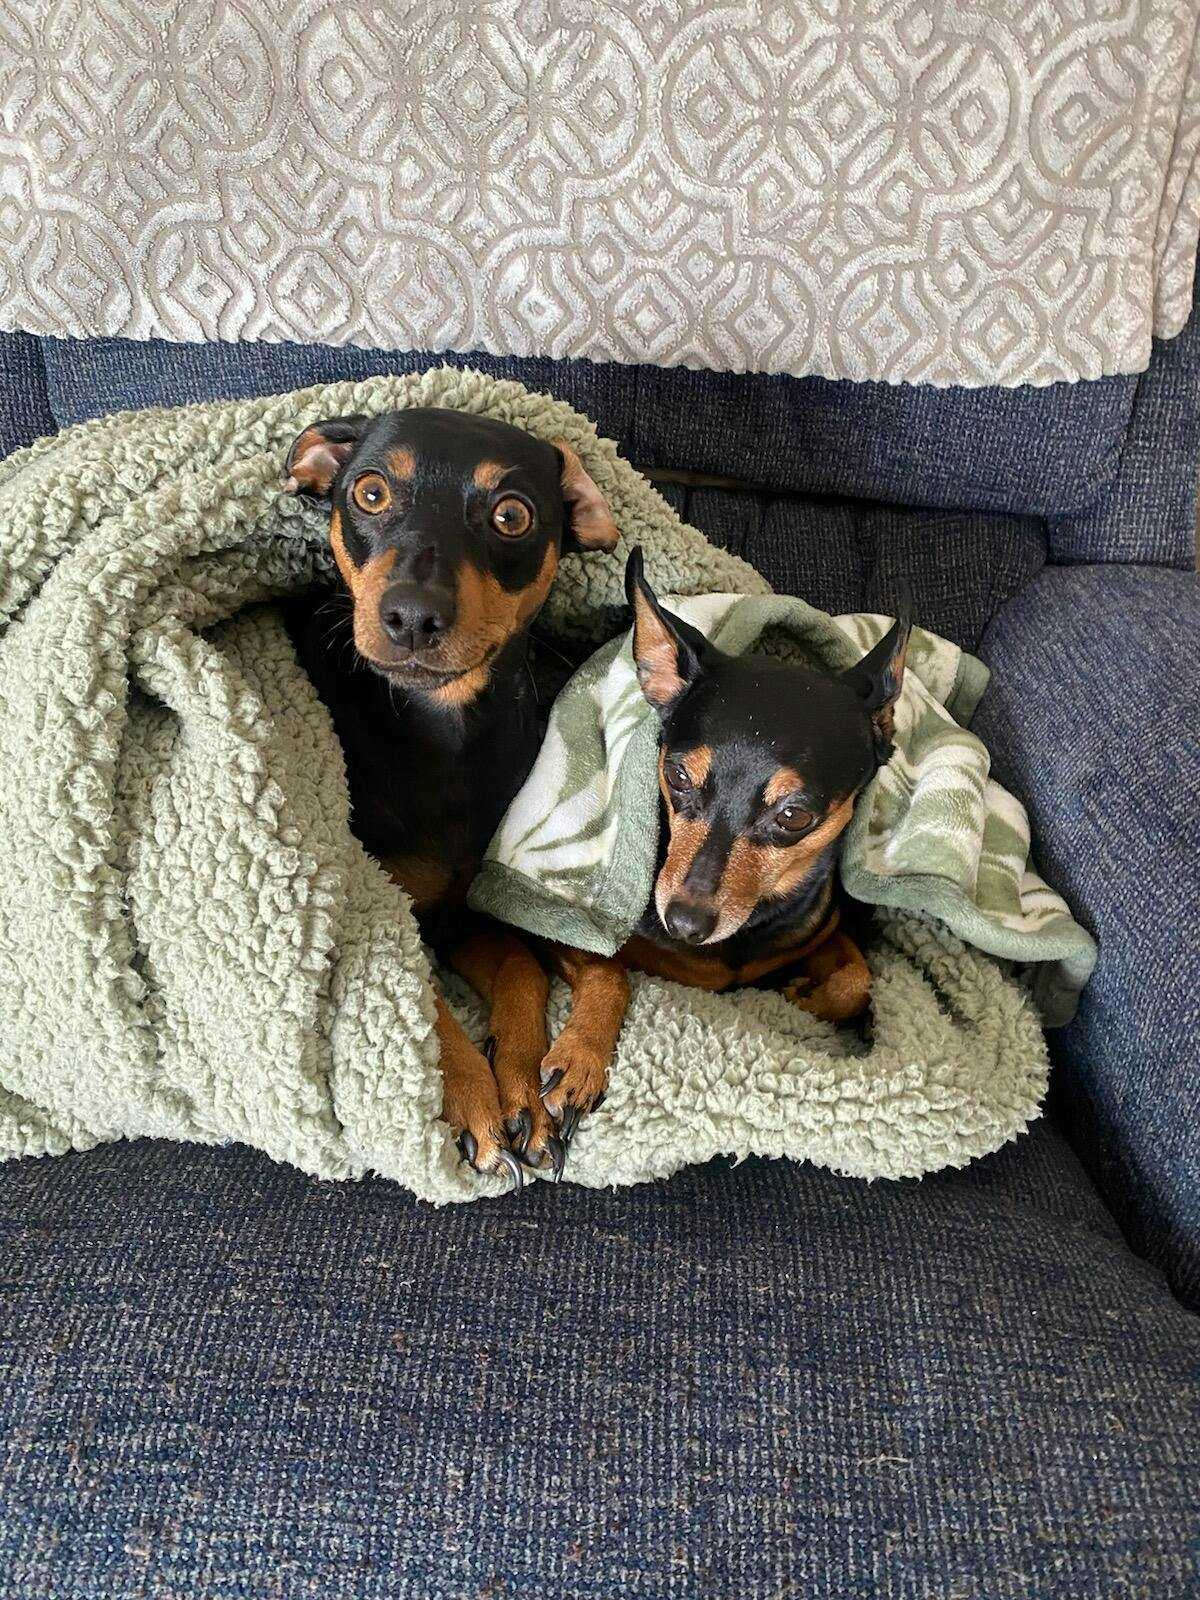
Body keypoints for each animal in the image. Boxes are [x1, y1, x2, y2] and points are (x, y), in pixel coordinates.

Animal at [283, 407, 617, 1185]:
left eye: (512, 514)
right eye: (370, 493)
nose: (412, 615)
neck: (446, 736)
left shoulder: (477, 909)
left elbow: (553, 965)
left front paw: (542, 1077)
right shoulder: (394, 911)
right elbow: (422, 1005)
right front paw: (474, 1101)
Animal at [535, 547, 911, 1137]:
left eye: (794, 816)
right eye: (677, 776)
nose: (686, 922)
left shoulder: (819, 930)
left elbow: (859, 979)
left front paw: (805, 995)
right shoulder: (553, 926)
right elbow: (607, 969)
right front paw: (580, 1058)